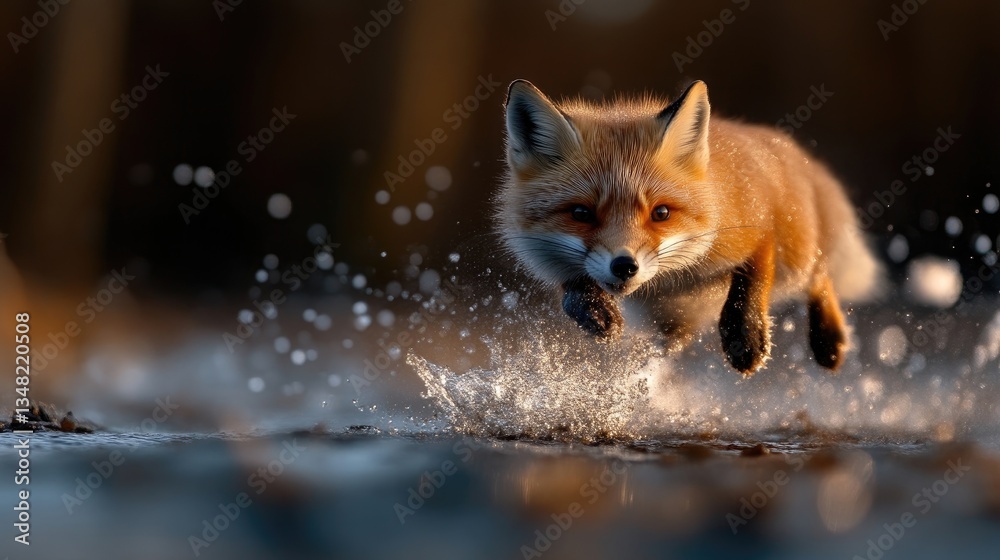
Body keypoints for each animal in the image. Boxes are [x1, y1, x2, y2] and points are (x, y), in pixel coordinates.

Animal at [498, 79, 880, 374]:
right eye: (581, 213)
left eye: (661, 213)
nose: (624, 266)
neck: (670, 277)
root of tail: (798, 155)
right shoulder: (547, 254)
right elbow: (571, 291)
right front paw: (593, 310)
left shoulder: (753, 223)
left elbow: (753, 274)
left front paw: (745, 335)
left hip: (797, 259)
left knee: (819, 276)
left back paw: (828, 340)